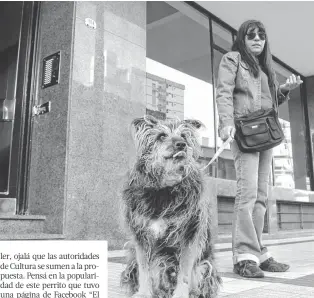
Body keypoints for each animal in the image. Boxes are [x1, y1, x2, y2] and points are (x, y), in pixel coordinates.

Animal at [120, 115, 221, 296]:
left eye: (184, 136)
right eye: (161, 136)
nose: (181, 144)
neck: (164, 188)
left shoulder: (189, 234)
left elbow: (185, 271)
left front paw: (180, 294)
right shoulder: (141, 236)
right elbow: (144, 269)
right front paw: (144, 293)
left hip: (205, 265)